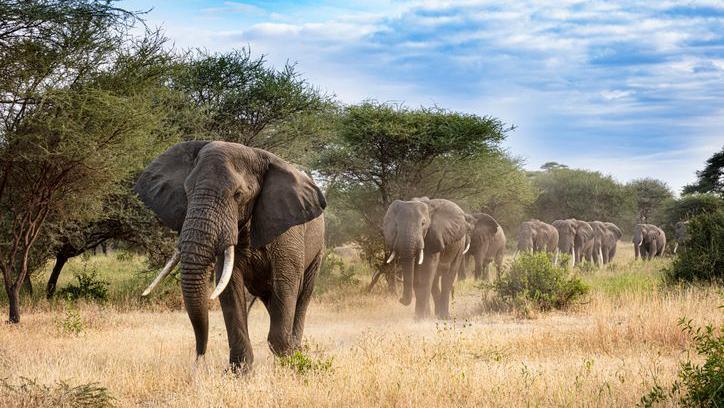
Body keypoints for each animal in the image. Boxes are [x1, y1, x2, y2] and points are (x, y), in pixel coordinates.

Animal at [133, 140, 326, 372]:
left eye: (238, 195)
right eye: (187, 192)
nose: (199, 358)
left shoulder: (288, 233)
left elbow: (285, 282)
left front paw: (288, 364)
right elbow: (229, 287)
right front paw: (239, 372)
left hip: (318, 249)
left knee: (302, 295)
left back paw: (296, 351)